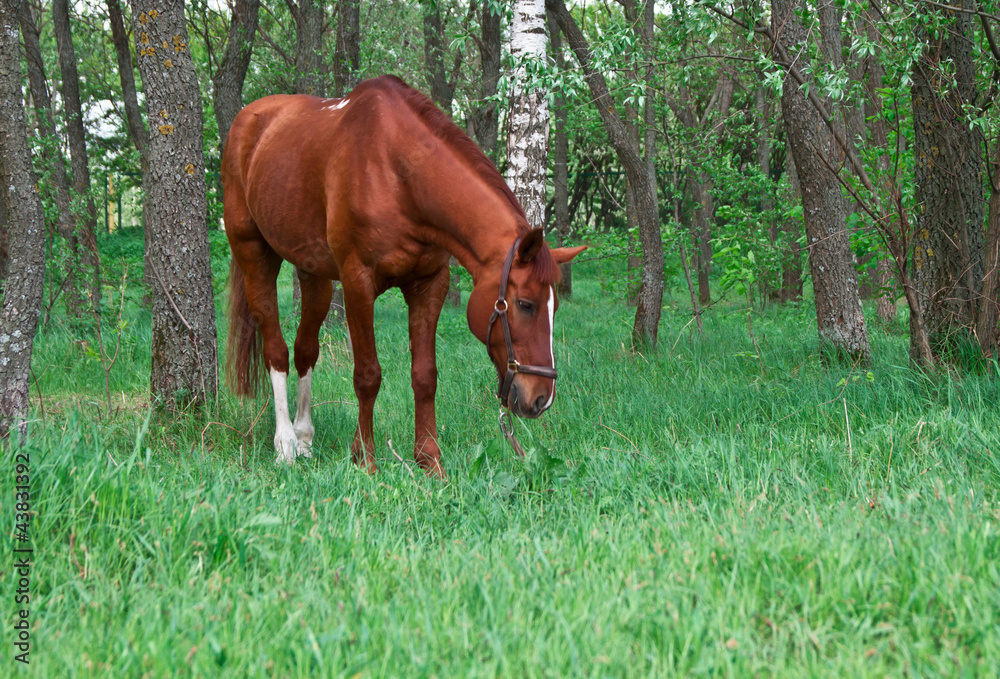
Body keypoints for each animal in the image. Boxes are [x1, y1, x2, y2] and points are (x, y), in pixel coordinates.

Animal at [221, 75, 584, 478]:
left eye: (553, 308)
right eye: (524, 304)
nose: (542, 398)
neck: (398, 173)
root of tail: (248, 119)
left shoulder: (429, 284)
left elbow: (425, 376)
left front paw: (429, 460)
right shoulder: (357, 283)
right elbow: (367, 376)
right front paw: (364, 459)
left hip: (313, 273)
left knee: (305, 350)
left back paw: (304, 439)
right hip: (255, 254)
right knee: (277, 350)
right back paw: (284, 443)